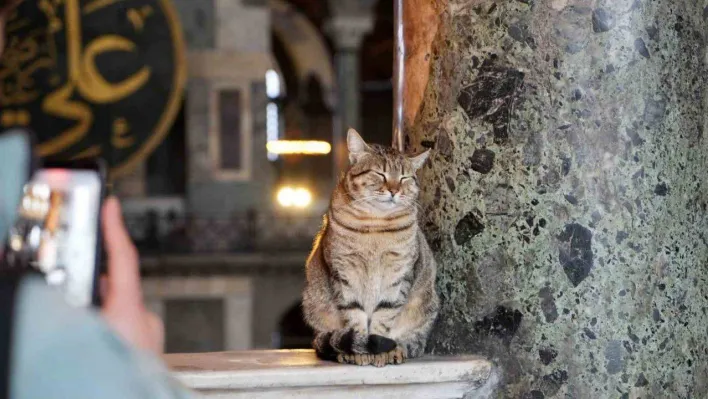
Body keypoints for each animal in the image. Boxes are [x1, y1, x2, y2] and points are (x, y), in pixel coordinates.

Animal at [302, 129, 440, 368]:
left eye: (404, 177)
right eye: (380, 174)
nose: (394, 190)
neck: (376, 224)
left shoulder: (399, 273)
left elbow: (384, 315)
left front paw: (380, 349)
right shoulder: (343, 271)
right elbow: (354, 314)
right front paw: (360, 350)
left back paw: (397, 349)